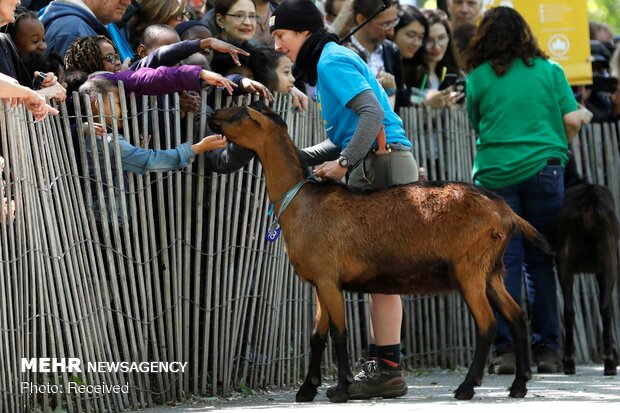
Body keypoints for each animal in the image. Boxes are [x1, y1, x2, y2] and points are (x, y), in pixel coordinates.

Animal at [208, 104, 548, 402]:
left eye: (241, 112)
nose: (212, 115)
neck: (302, 201)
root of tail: (505, 212)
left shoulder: (329, 279)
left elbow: (339, 333)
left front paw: (341, 389)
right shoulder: (320, 281)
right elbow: (317, 336)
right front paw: (307, 390)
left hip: (470, 268)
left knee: (487, 323)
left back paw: (467, 388)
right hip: (491, 271)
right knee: (517, 316)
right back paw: (518, 386)